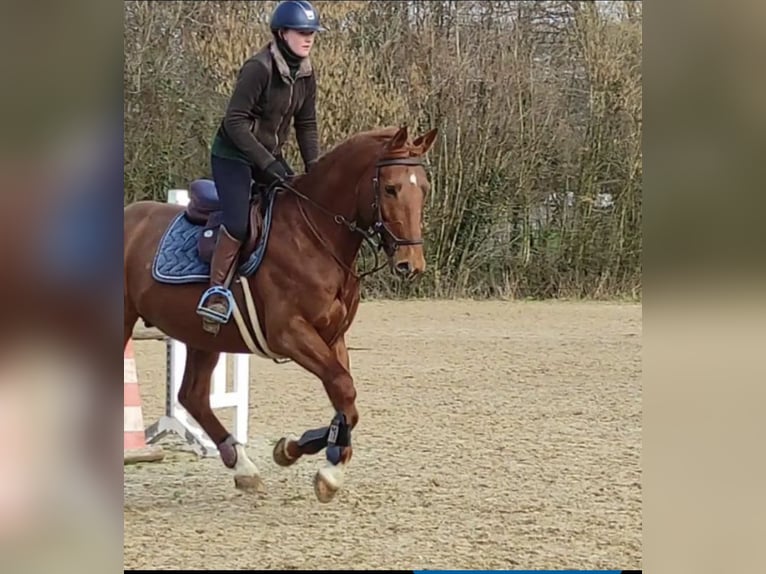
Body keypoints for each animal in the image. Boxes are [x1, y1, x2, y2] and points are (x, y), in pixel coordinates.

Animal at [124, 124, 440, 502]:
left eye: (424, 188)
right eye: (391, 188)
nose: (411, 264)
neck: (316, 235)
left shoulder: (333, 337)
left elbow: (345, 399)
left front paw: (298, 450)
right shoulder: (289, 333)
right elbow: (343, 388)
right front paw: (327, 468)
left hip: (202, 335)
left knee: (193, 396)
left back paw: (242, 466)